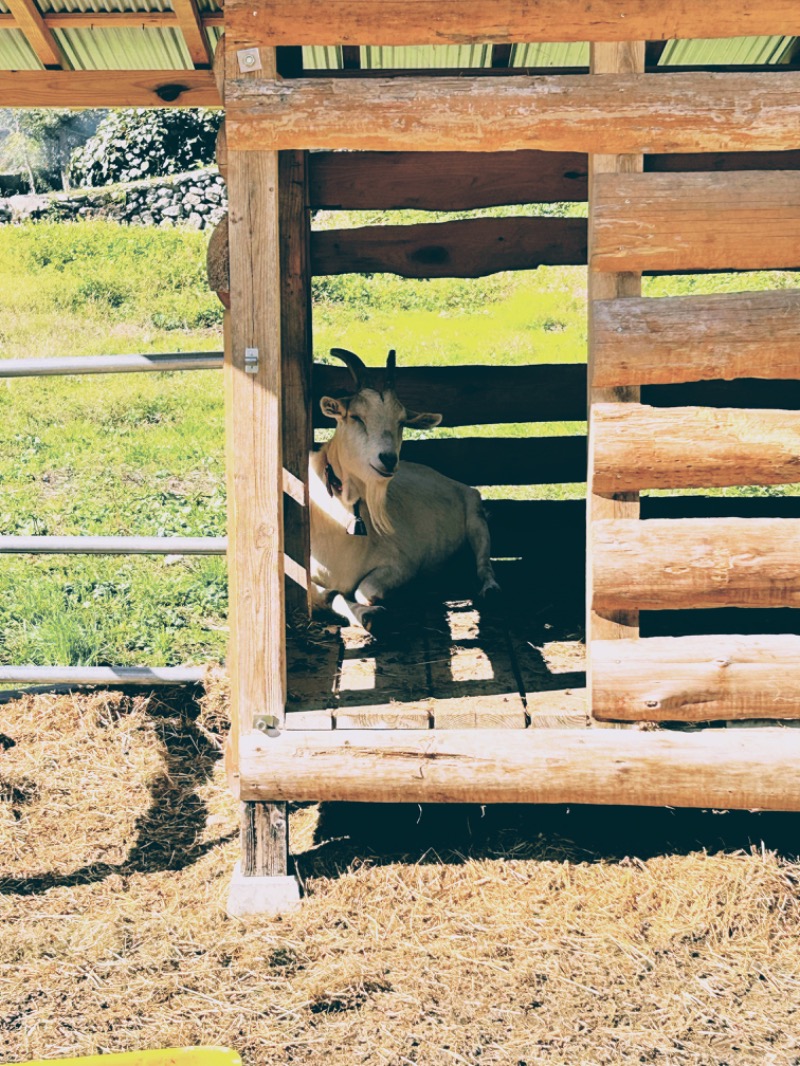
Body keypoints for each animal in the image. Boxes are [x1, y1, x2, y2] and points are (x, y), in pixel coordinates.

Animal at [309, 347, 501, 631]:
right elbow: (327, 595)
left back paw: (490, 589)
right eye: (356, 417)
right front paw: (367, 615)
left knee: (483, 562)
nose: (388, 459)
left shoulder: (402, 563)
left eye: (401, 422)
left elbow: (364, 591)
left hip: (476, 517)